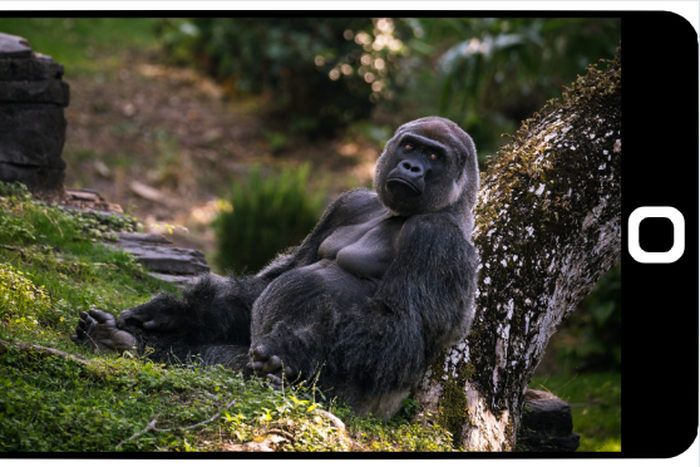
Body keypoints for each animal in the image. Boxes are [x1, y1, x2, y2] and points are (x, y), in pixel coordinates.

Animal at [72, 116, 480, 419]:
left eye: (434, 155)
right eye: (409, 146)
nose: (412, 167)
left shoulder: (436, 238)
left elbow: (400, 327)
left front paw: (294, 347)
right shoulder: (350, 203)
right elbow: (272, 280)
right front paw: (175, 311)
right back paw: (116, 338)